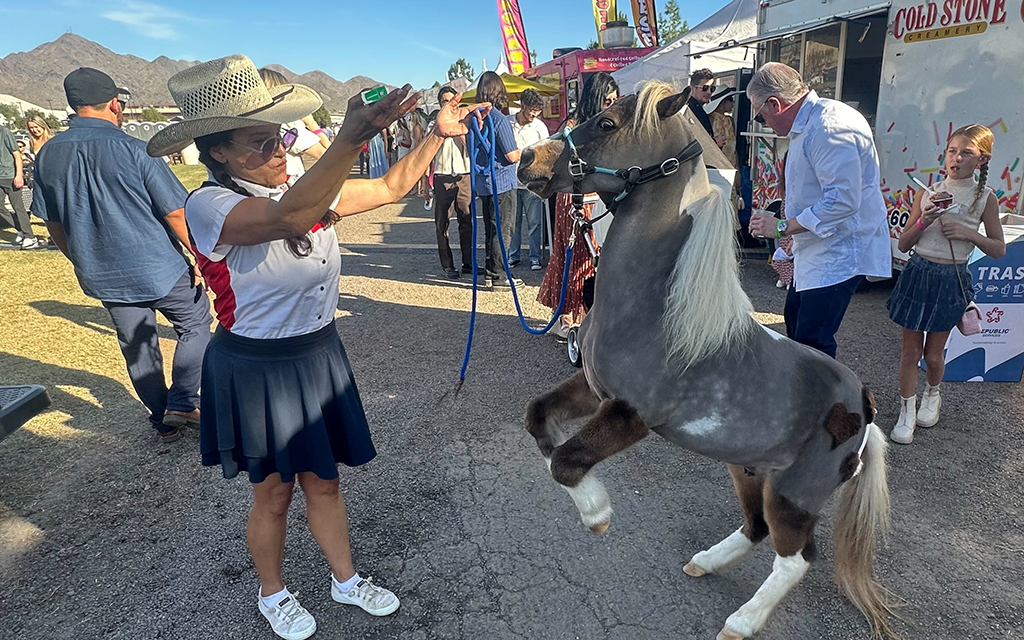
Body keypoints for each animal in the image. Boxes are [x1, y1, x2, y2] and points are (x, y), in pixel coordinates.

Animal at [520, 80, 897, 638]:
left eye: (608, 122)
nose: (527, 160)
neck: (652, 308)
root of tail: (865, 406)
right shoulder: (591, 389)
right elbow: (539, 421)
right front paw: (583, 494)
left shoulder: (630, 415)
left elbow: (567, 462)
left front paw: (597, 515)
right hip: (748, 470)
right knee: (756, 527)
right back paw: (704, 562)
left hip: (794, 495)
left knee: (795, 557)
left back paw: (742, 621)